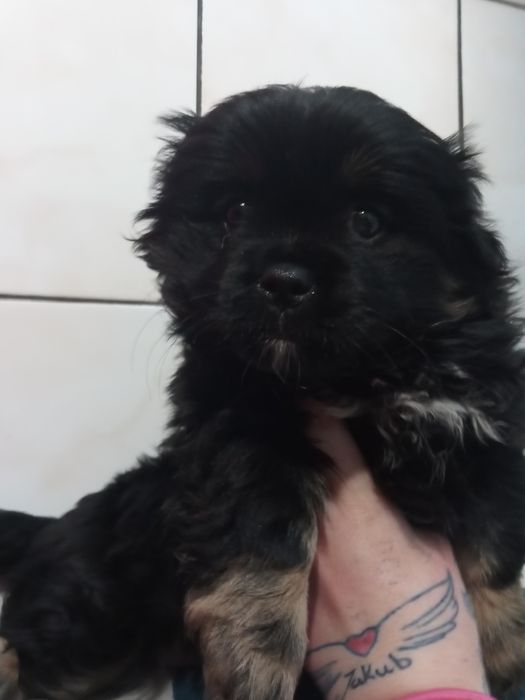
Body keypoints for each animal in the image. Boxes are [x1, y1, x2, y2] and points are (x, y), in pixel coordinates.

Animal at [1, 84, 525, 700]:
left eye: (366, 221)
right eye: (236, 212)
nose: (285, 281)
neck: (362, 375)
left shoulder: (482, 435)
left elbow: (493, 542)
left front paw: (509, 644)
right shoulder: (238, 429)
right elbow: (260, 532)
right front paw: (256, 656)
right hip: (91, 614)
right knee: (31, 643)